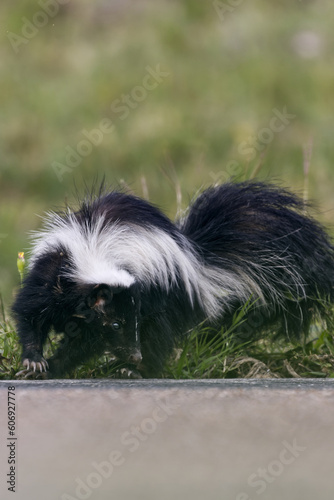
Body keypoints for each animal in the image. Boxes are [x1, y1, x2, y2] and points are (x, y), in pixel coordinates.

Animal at [11, 182, 334, 376]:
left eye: (129, 322)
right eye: (115, 323)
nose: (135, 356)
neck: (93, 253)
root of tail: (195, 260)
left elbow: (83, 343)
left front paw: (53, 366)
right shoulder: (50, 275)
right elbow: (30, 314)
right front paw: (34, 361)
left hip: (167, 294)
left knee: (160, 334)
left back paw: (139, 372)